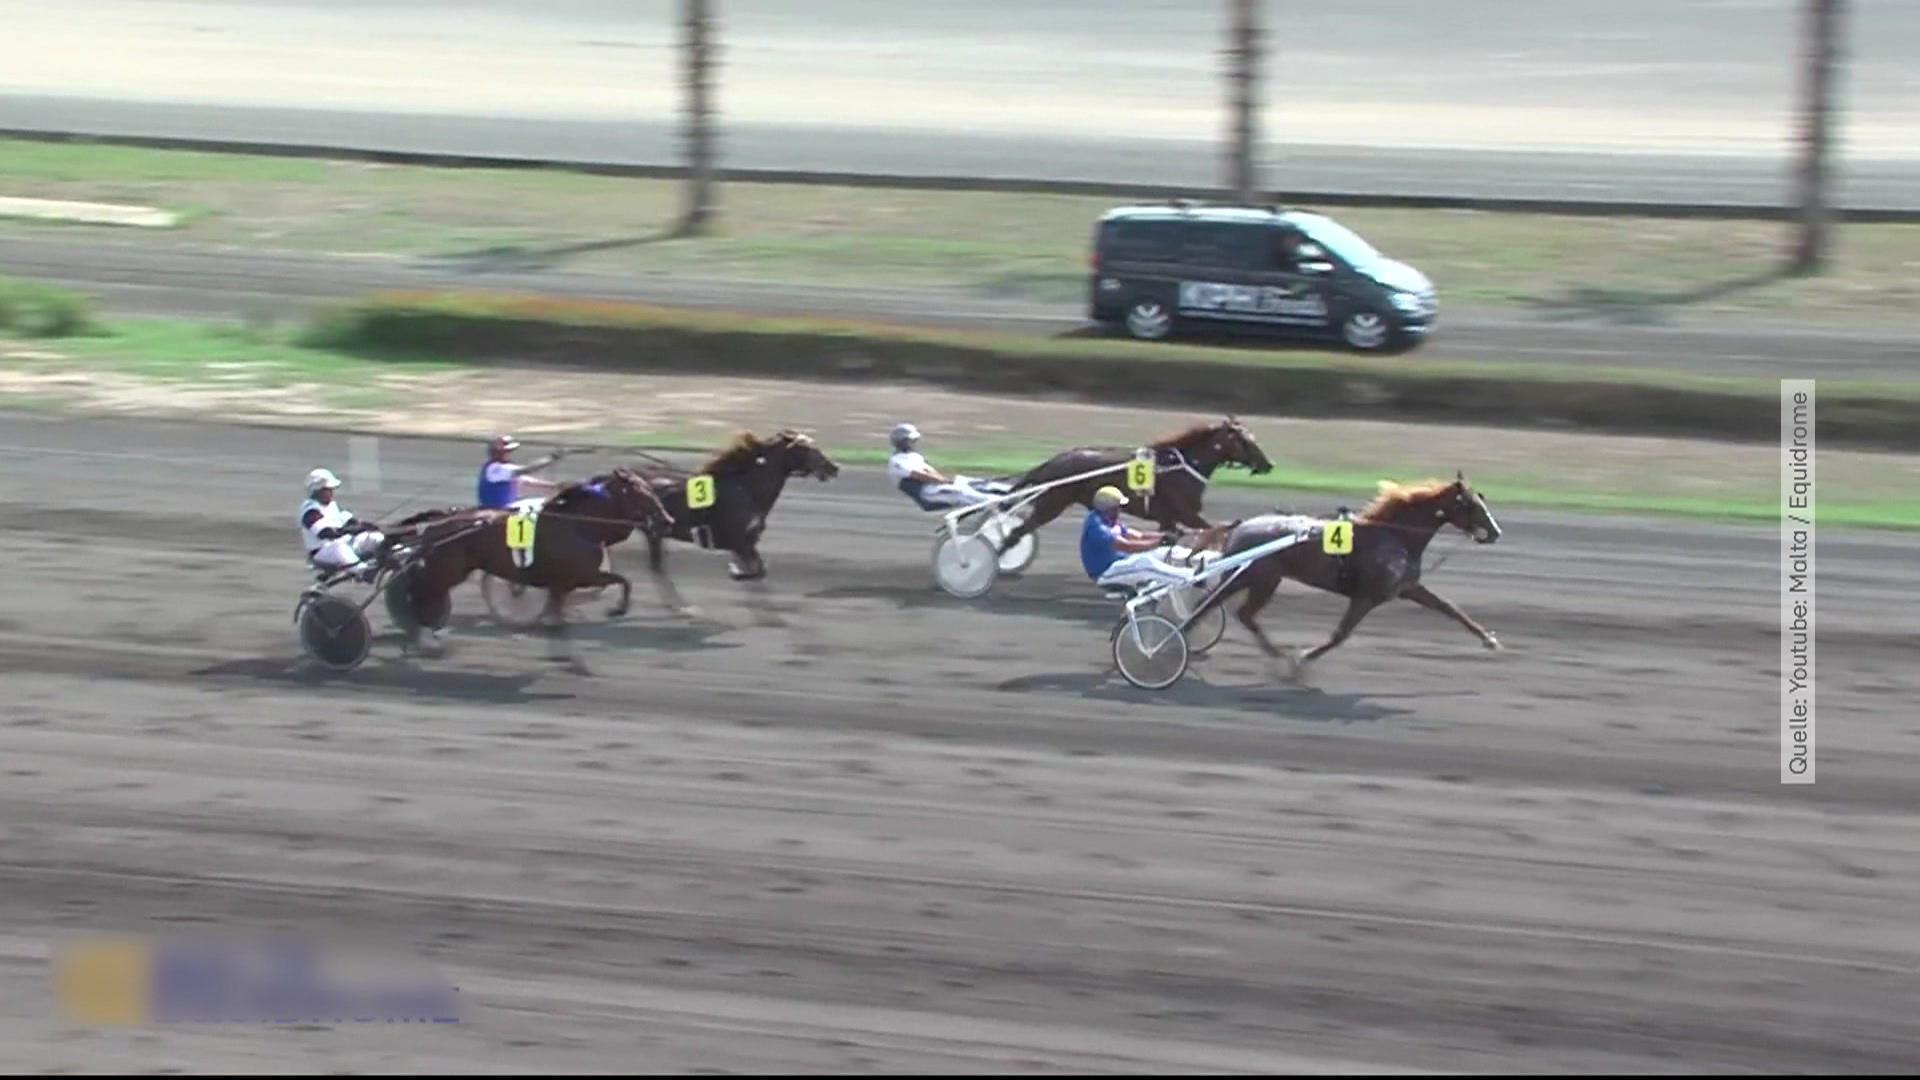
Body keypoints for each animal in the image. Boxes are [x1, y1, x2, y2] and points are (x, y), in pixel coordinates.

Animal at [990, 417, 1274, 553]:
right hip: (1051, 505)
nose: (1268, 464)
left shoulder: (1168, 519)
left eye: (1253, 438)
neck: (1182, 466)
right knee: (1017, 533)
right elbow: (1213, 530)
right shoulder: (1187, 514)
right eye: (1245, 441)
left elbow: (1169, 539)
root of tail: (1055, 461)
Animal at [1113, 470, 1497, 687]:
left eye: (1483, 500)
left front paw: (1489, 640)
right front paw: (1299, 663)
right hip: (1255, 577)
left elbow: (1449, 608)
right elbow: (1339, 636)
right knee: (1214, 607)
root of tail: (1242, 525)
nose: (1496, 532)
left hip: (1260, 579)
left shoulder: (1406, 588)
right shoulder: (1366, 597)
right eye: (1472, 505)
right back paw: (1164, 648)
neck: (1393, 536)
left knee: (1240, 614)